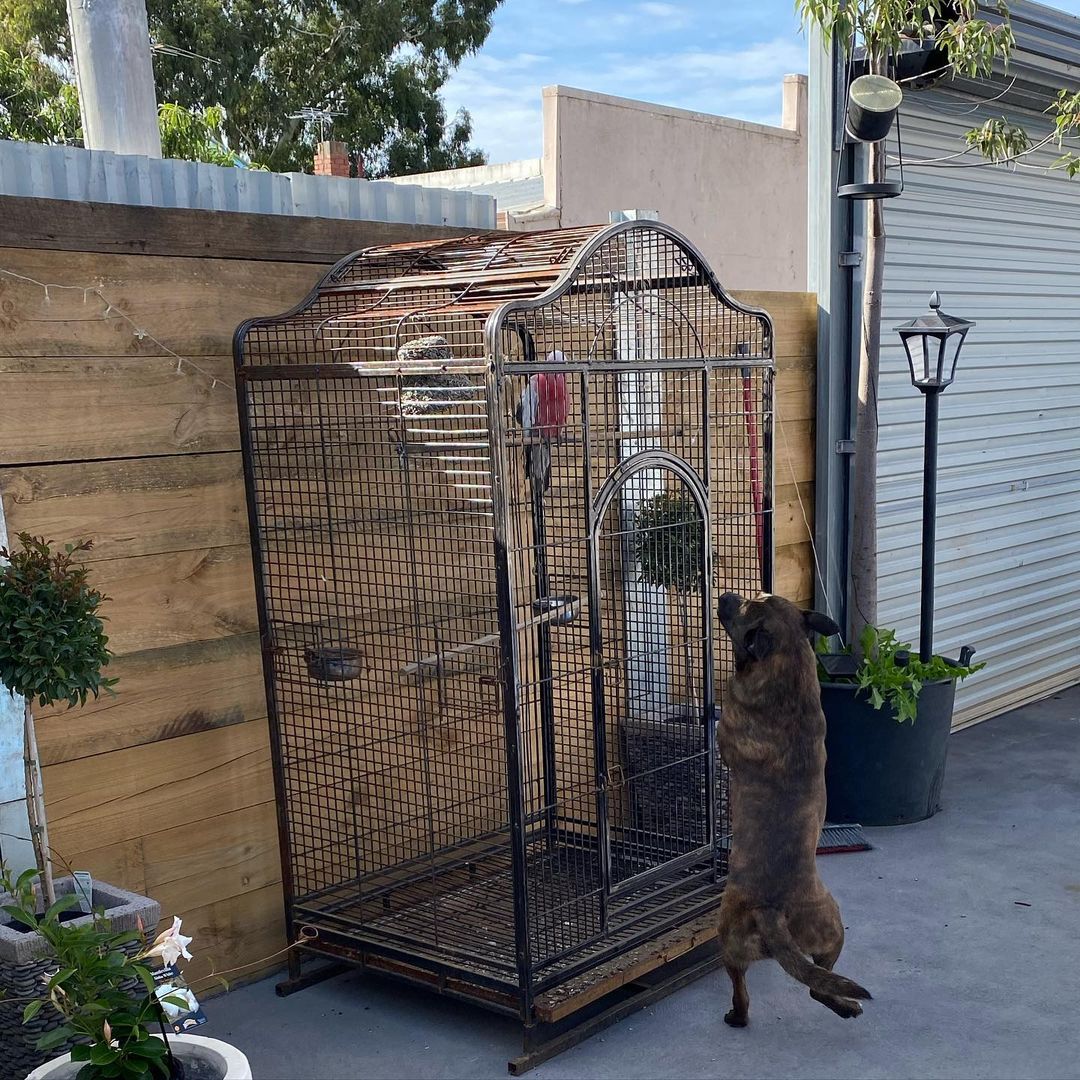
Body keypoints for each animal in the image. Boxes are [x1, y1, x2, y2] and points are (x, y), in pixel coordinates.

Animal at [717, 596, 868, 1023]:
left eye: (744, 609)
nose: (725, 597)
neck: (789, 666)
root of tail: (770, 910)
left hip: (729, 940)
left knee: (744, 993)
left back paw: (736, 1018)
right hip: (832, 929)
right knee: (818, 982)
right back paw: (846, 1007)